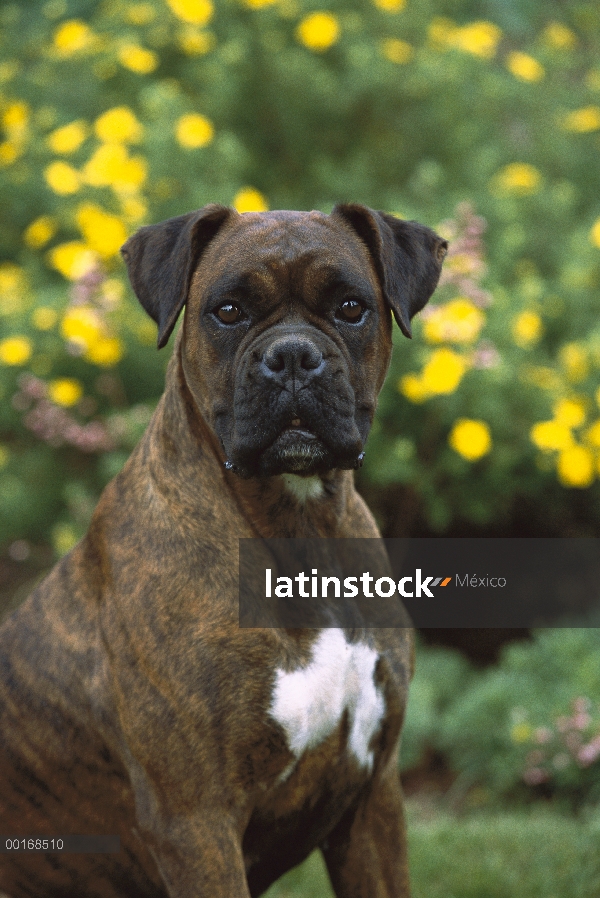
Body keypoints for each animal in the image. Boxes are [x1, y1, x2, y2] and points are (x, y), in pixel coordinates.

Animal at [0, 205, 446, 896]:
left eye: (351, 307)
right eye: (229, 311)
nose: (293, 355)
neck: (297, 529)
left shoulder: (372, 800)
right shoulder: (196, 824)